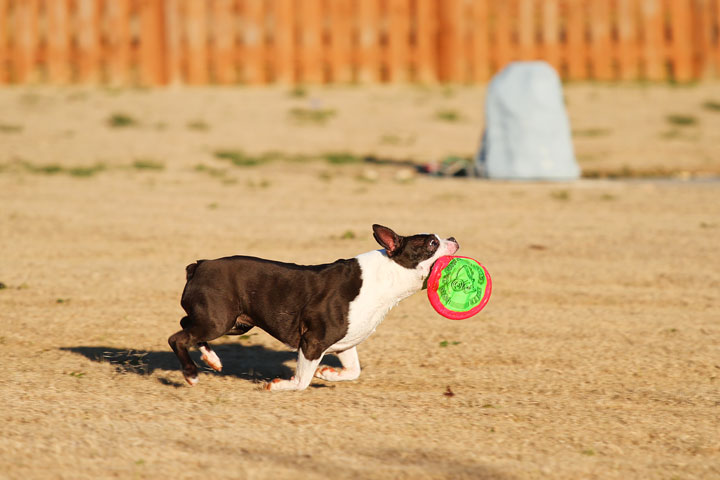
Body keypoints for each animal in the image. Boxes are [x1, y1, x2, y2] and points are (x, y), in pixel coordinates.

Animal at [168, 225, 458, 390]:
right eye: (432, 243)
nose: (453, 238)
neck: (388, 275)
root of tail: (199, 265)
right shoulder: (313, 342)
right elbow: (301, 382)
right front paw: (279, 386)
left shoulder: (344, 343)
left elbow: (354, 371)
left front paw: (328, 374)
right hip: (219, 319)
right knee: (177, 337)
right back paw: (191, 374)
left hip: (234, 322)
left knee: (187, 326)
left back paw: (212, 360)